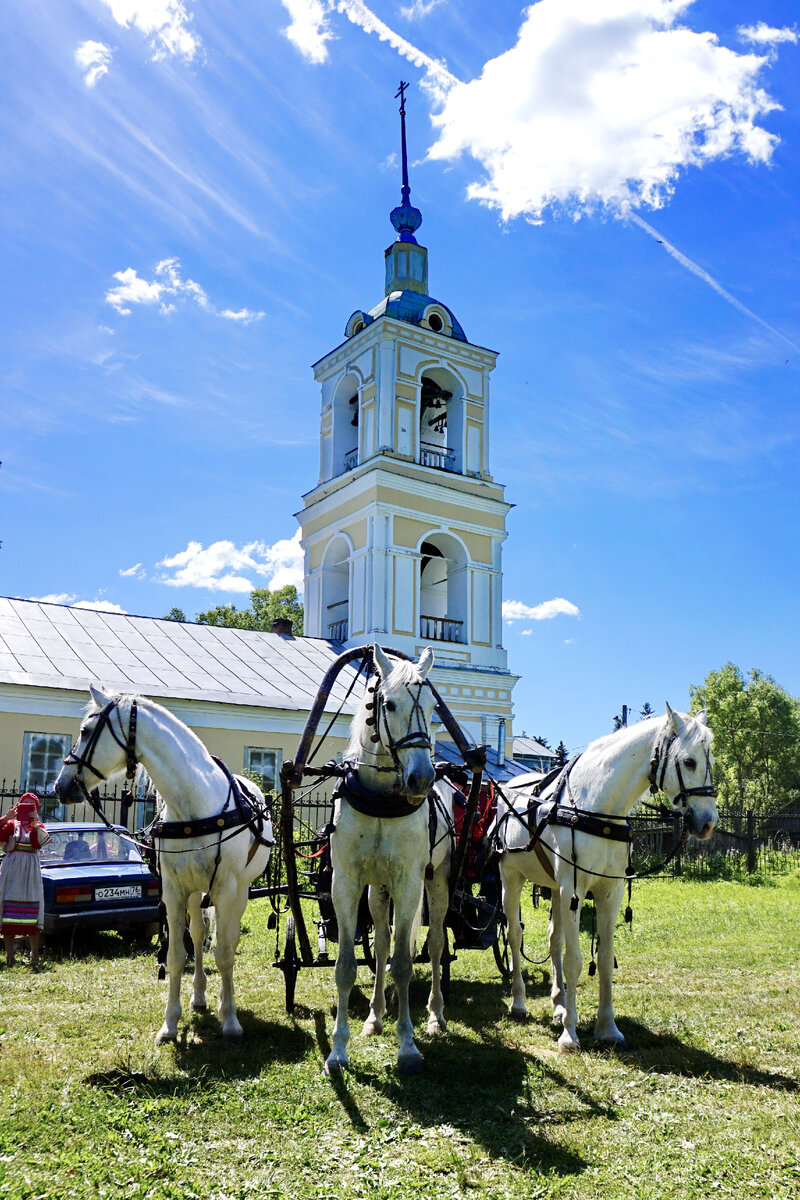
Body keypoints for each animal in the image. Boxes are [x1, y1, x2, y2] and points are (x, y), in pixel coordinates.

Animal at [53, 691, 272, 1046]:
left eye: (86, 731)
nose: (60, 786)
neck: (194, 806)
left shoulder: (226, 890)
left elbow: (224, 952)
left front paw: (230, 1020)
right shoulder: (174, 891)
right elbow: (176, 955)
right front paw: (170, 1023)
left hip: (239, 892)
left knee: (228, 939)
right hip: (196, 893)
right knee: (198, 935)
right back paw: (199, 995)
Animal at [323, 648, 450, 1080]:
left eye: (432, 707)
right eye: (388, 704)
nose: (422, 779)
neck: (380, 797)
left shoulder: (410, 882)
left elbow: (404, 964)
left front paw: (408, 1047)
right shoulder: (346, 882)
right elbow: (348, 965)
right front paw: (338, 1050)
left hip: (437, 881)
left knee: (436, 942)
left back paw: (435, 1015)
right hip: (378, 889)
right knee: (379, 944)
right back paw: (376, 1016)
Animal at [496, 705, 714, 1056]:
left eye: (710, 762)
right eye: (689, 761)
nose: (708, 822)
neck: (598, 807)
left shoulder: (607, 892)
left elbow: (603, 958)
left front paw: (607, 1028)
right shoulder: (574, 889)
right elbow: (574, 960)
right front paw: (569, 1034)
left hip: (555, 889)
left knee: (554, 938)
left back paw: (559, 1003)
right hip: (511, 878)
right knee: (515, 937)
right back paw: (519, 1002)